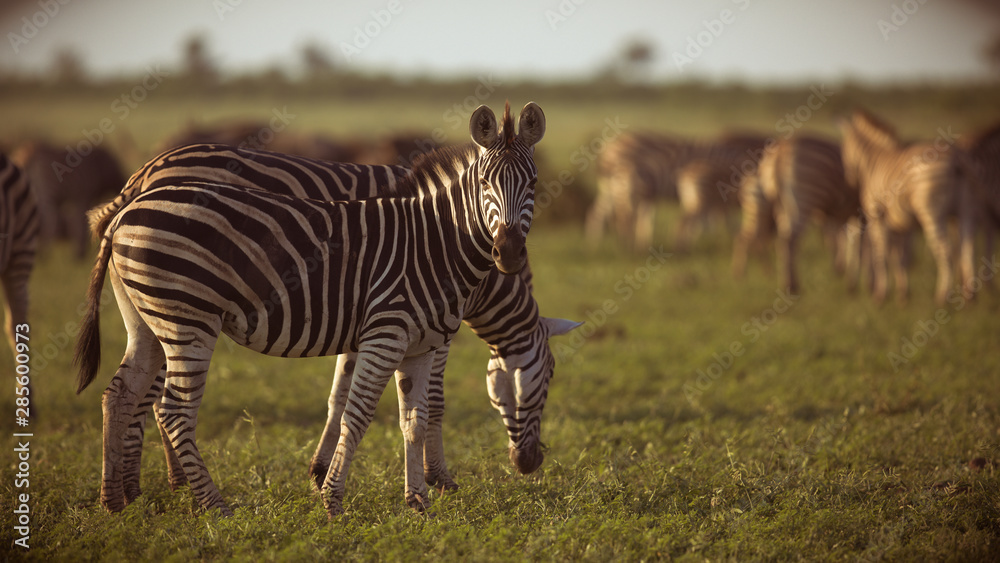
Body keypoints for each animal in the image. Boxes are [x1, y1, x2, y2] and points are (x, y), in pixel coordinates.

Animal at [73, 102, 547, 517]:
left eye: (534, 185)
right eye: (484, 185)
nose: (508, 252)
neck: (437, 242)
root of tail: (129, 203)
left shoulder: (415, 344)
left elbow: (407, 418)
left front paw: (417, 502)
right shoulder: (387, 334)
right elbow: (368, 413)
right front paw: (339, 498)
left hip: (148, 321)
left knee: (120, 394)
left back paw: (117, 500)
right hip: (188, 320)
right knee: (172, 410)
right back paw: (211, 503)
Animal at [732, 135, 862, 294]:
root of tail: (779, 152)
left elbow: (844, 242)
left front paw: (845, 274)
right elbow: (856, 245)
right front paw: (854, 282)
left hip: (773, 210)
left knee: (751, 238)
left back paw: (746, 275)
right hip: (797, 202)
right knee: (783, 240)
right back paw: (789, 285)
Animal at [839, 109, 976, 305]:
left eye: (844, 150)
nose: (849, 179)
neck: (873, 160)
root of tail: (956, 157)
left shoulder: (875, 214)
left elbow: (881, 254)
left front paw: (880, 295)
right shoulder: (902, 223)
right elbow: (900, 257)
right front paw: (903, 295)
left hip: (931, 213)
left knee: (945, 250)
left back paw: (941, 296)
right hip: (966, 210)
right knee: (968, 248)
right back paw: (970, 296)